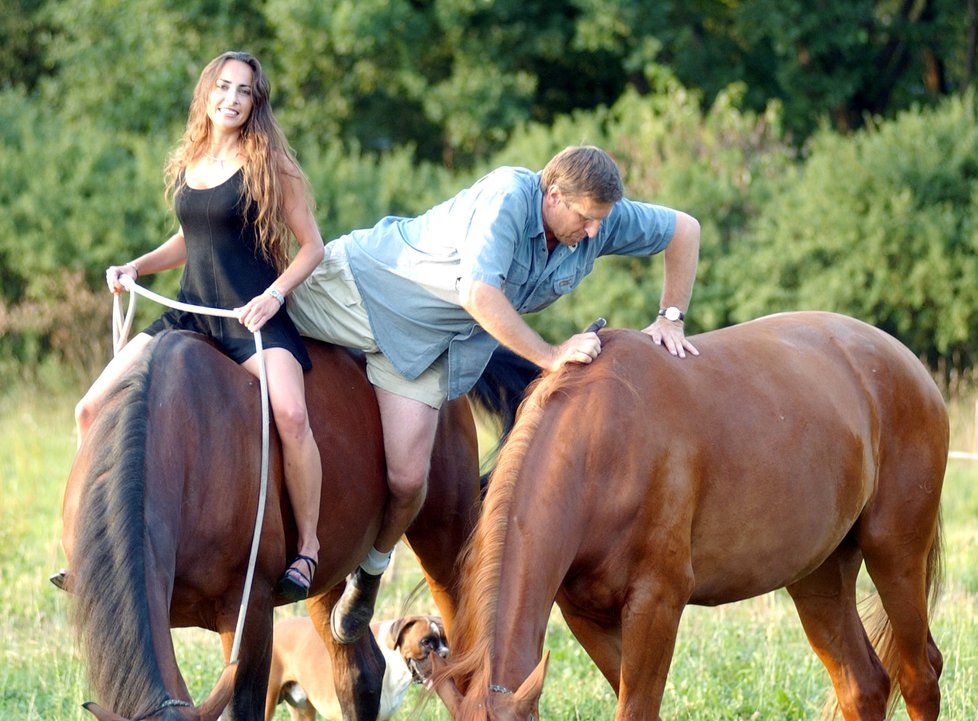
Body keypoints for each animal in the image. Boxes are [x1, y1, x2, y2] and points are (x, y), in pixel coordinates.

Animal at [432, 312, 944, 720]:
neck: (603, 444)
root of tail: (906, 363)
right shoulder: (586, 616)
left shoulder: (657, 604)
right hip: (819, 578)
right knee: (863, 686)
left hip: (895, 556)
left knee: (920, 676)